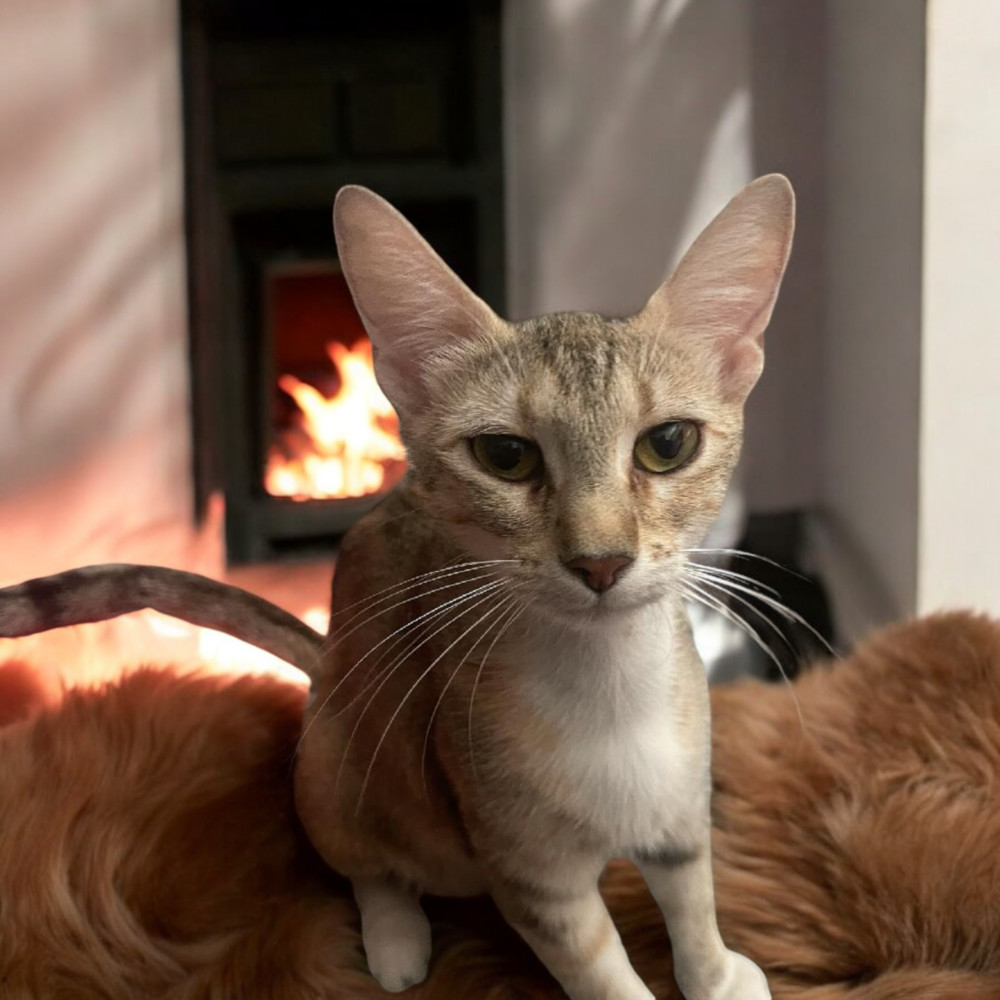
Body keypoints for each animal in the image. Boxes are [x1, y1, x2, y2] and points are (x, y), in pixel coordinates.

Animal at [0, 176, 796, 996]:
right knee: (367, 863)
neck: (609, 686)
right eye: (505, 456)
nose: (601, 561)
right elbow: (600, 971)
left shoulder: (681, 809)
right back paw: (394, 936)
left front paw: (719, 976)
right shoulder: (532, 877)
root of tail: (328, 663)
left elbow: (694, 899)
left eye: (668, 443)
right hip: (341, 775)